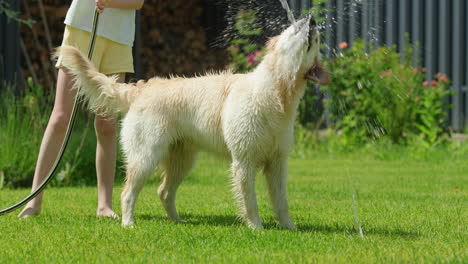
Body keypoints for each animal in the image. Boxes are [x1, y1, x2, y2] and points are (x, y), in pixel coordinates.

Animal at [56, 17, 330, 229]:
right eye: (296, 28)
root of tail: (140, 89)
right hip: (146, 156)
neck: (275, 93)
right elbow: (250, 201)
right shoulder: (244, 161)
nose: (312, 20)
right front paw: (256, 228)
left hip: (182, 161)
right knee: (127, 193)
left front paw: (289, 228)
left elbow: (281, 201)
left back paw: (177, 222)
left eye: (316, 41)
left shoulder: (277, 163)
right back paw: (128, 223)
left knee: (163, 191)